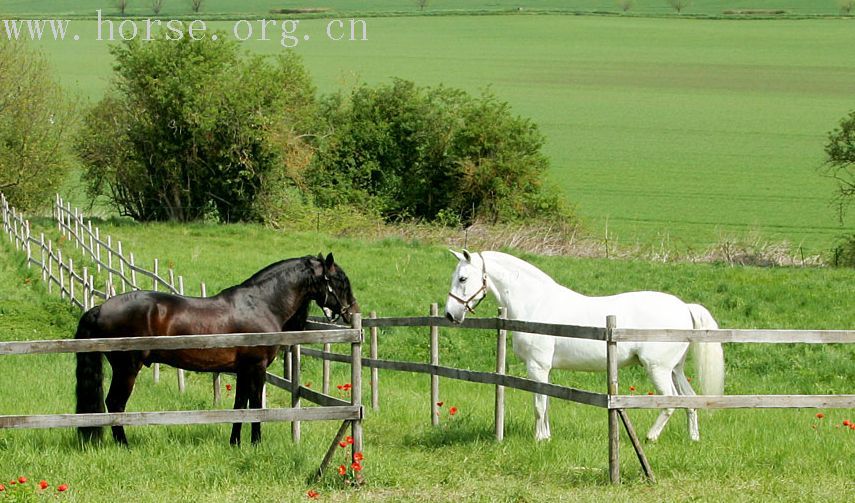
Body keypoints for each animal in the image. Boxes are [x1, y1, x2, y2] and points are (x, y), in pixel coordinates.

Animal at [72, 254, 356, 446]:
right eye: (339, 280)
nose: (351, 310)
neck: (261, 303)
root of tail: (101, 307)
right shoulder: (257, 368)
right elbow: (256, 405)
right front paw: (256, 443)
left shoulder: (242, 370)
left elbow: (240, 405)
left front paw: (235, 443)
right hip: (127, 368)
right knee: (115, 403)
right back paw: (124, 444)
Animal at [444, 250, 724, 442]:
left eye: (463, 278)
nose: (449, 314)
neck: (537, 303)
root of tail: (684, 306)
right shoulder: (545, 370)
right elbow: (547, 402)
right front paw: (547, 436)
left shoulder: (537, 366)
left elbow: (539, 404)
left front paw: (539, 439)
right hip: (675, 370)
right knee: (690, 399)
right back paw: (693, 438)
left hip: (658, 369)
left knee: (670, 401)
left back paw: (650, 436)